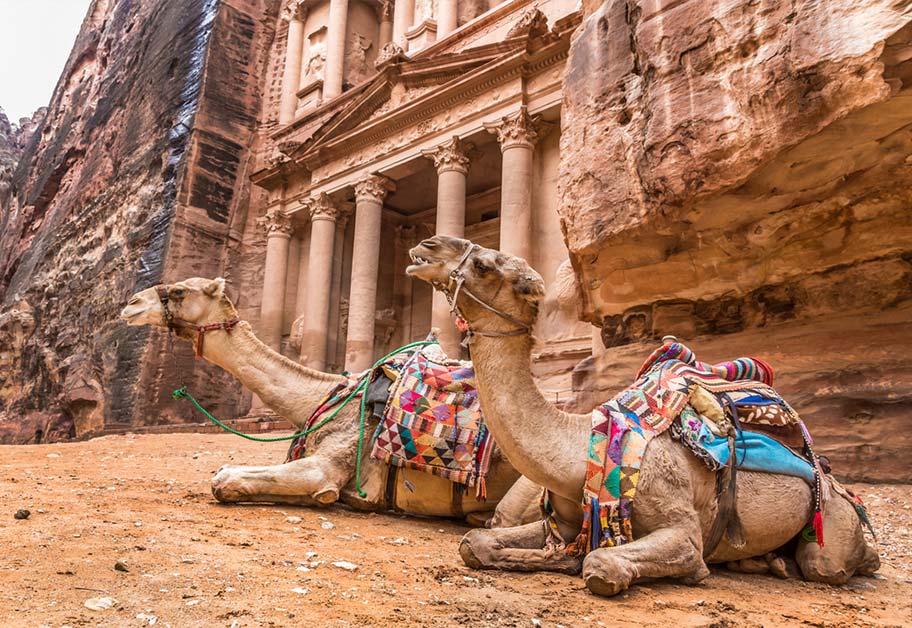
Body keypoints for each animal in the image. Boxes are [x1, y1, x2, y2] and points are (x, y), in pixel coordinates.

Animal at [118, 278, 536, 528]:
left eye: (180, 291)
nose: (130, 303)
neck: (322, 398)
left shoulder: (328, 462)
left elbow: (223, 479)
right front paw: (322, 499)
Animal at [408, 236, 884, 592]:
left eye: (485, 265)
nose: (427, 246)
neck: (579, 446)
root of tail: (828, 474)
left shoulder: (681, 526)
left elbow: (603, 564)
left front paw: (685, 572)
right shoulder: (564, 520)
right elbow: (474, 542)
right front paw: (550, 558)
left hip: (830, 521)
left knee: (831, 563)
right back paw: (766, 562)